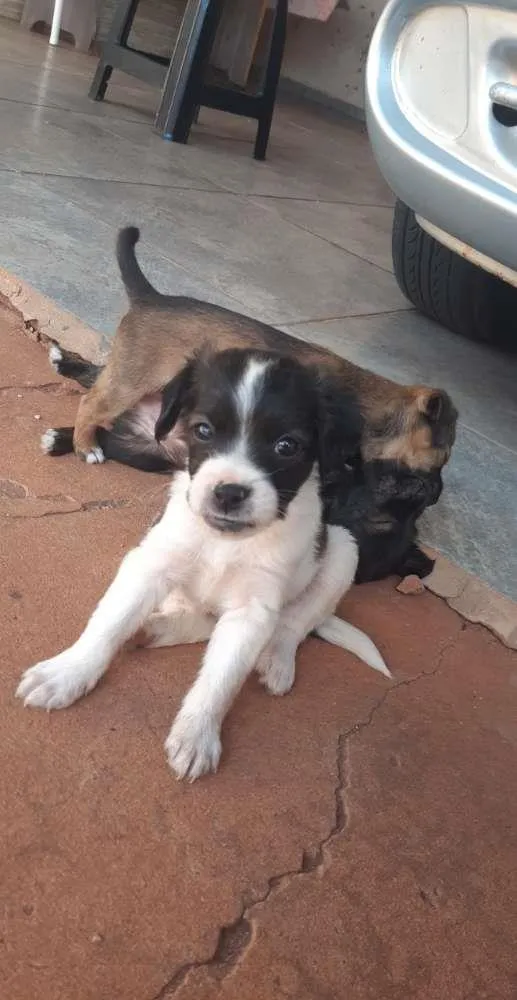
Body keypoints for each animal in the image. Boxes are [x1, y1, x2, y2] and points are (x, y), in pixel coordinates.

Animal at [17, 350, 388, 780]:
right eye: (203, 430)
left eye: (287, 446)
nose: (228, 493)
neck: (226, 542)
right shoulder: (151, 564)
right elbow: (108, 625)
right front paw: (67, 674)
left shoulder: (252, 609)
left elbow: (222, 678)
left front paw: (197, 736)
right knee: (200, 619)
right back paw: (153, 628)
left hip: (343, 548)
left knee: (293, 622)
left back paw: (276, 660)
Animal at [43, 228, 456, 584]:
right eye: (439, 459)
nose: (436, 493)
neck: (371, 407)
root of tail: (151, 297)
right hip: (134, 378)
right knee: (92, 400)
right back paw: (84, 444)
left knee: (98, 386)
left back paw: (64, 379)